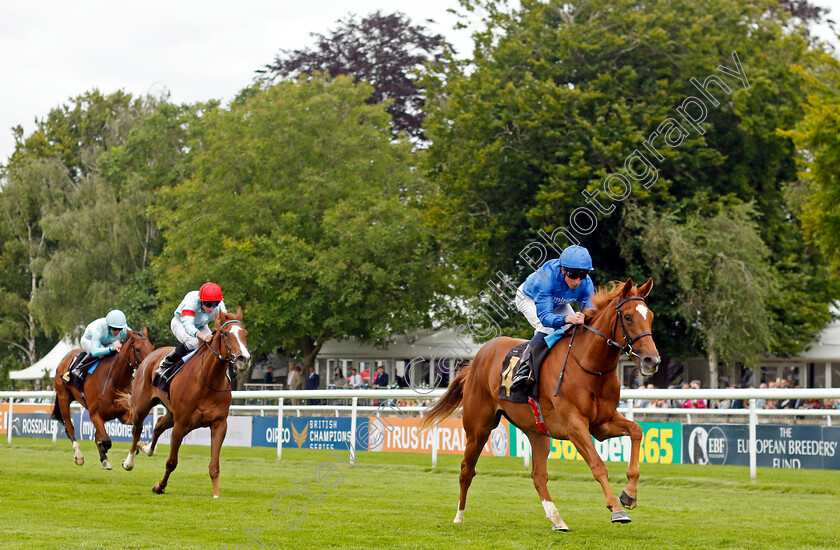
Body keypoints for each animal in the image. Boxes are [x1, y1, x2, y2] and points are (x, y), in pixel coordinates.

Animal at [52, 328, 156, 470]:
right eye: (138, 349)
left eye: (152, 347)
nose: (150, 365)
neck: (114, 379)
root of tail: (64, 358)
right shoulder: (95, 414)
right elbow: (105, 440)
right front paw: (106, 450)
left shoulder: (123, 413)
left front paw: (138, 448)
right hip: (64, 398)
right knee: (69, 427)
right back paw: (79, 456)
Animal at [118, 310, 249, 500]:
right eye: (226, 334)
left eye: (245, 334)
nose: (243, 359)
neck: (207, 381)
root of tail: (151, 355)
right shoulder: (180, 426)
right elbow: (171, 462)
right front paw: (159, 486)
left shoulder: (219, 424)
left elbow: (214, 465)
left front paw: (216, 494)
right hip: (142, 406)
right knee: (137, 429)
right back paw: (129, 461)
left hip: (172, 413)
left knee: (159, 424)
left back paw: (148, 448)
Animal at [424, 282, 660, 532]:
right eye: (628, 316)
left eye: (650, 316)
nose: (652, 360)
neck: (590, 366)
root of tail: (478, 357)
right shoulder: (575, 426)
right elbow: (597, 465)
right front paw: (616, 509)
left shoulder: (601, 424)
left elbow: (637, 430)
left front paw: (629, 494)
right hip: (478, 427)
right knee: (466, 470)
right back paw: (459, 517)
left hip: (537, 431)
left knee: (538, 475)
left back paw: (557, 519)